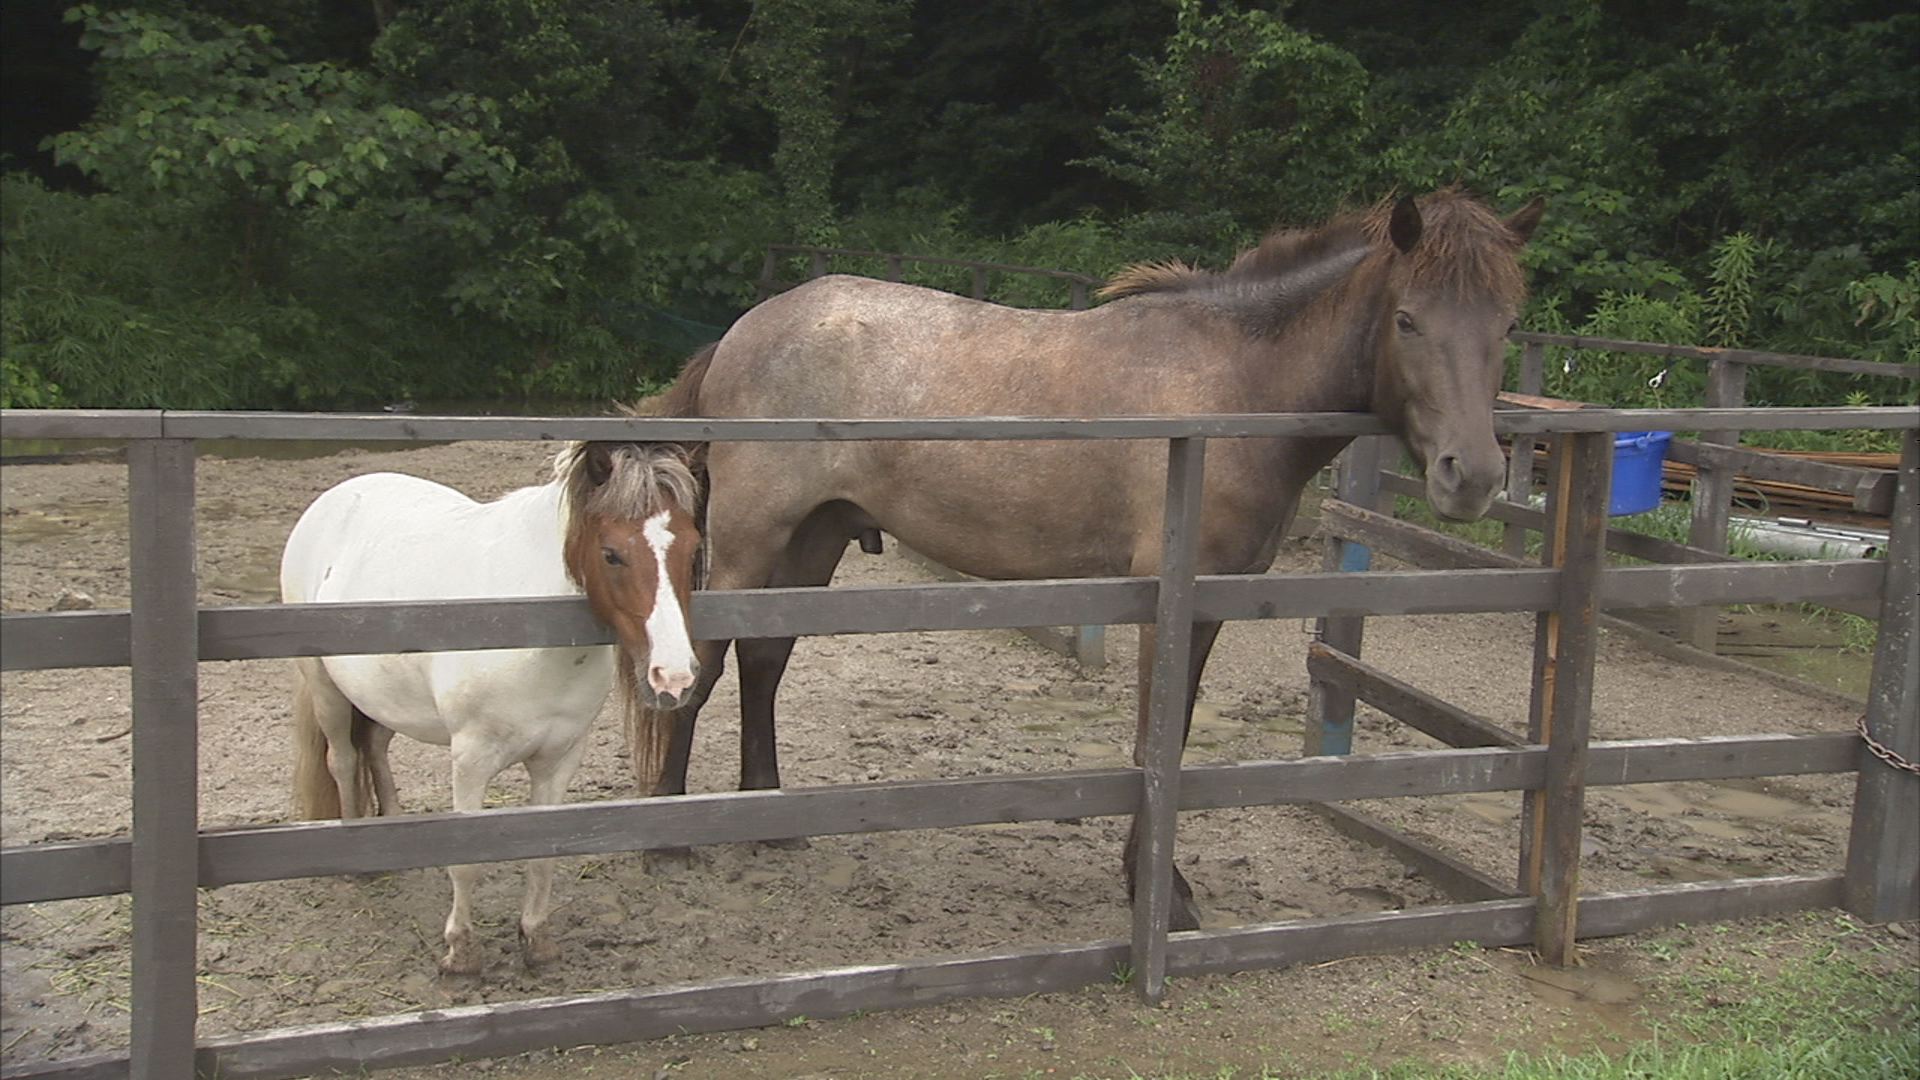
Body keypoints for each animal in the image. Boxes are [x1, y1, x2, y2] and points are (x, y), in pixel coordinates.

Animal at [278, 432, 706, 972]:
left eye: (691, 550)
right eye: (612, 554)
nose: (674, 677)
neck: (521, 627)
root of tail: (334, 498)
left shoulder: (559, 759)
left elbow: (544, 854)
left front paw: (536, 941)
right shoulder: (471, 760)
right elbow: (466, 862)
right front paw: (460, 953)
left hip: (381, 695)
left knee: (373, 747)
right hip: (325, 688)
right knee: (343, 759)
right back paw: (360, 861)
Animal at [637, 184, 1536, 926]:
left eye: (1507, 326)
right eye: (1408, 320)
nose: (1472, 476)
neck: (1233, 384)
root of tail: (743, 331)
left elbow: (1171, 736)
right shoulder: (1170, 596)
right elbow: (1153, 739)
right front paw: (1159, 896)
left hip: (815, 536)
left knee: (764, 659)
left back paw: (768, 821)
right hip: (754, 538)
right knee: (706, 666)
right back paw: (669, 833)